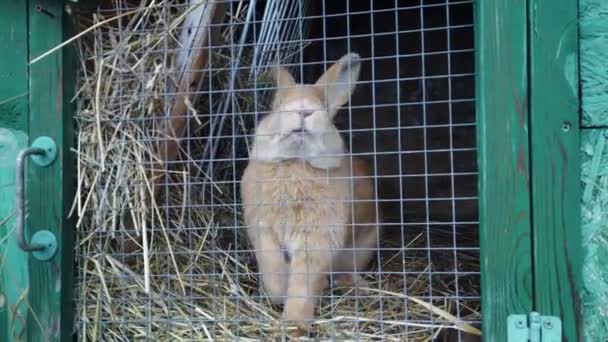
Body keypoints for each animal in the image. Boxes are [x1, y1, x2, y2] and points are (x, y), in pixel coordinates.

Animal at [239, 53, 378, 334]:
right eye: (280, 104)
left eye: (323, 105)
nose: (303, 111)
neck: (295, 163)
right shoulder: (263, 231)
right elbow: (273, 270)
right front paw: (278, 295)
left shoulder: (316, 240)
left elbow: (303, 284)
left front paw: (294, 326)